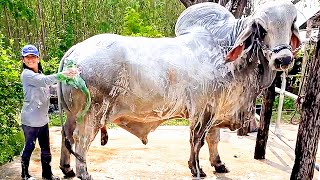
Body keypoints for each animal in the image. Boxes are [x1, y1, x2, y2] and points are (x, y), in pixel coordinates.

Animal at [58, 1, 302, 179]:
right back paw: (83, 173)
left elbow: (214, 139)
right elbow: (198, 141)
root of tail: (74, 50)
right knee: (81, 139)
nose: (283, 59)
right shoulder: (203, 111)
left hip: (72, 113)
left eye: (292, 24)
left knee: (66, 134)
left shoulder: (217, 108)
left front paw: (218, 164)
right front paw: (197, 169)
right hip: (92, 113)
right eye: (262, 28)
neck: (225, 53)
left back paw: (67, 169)